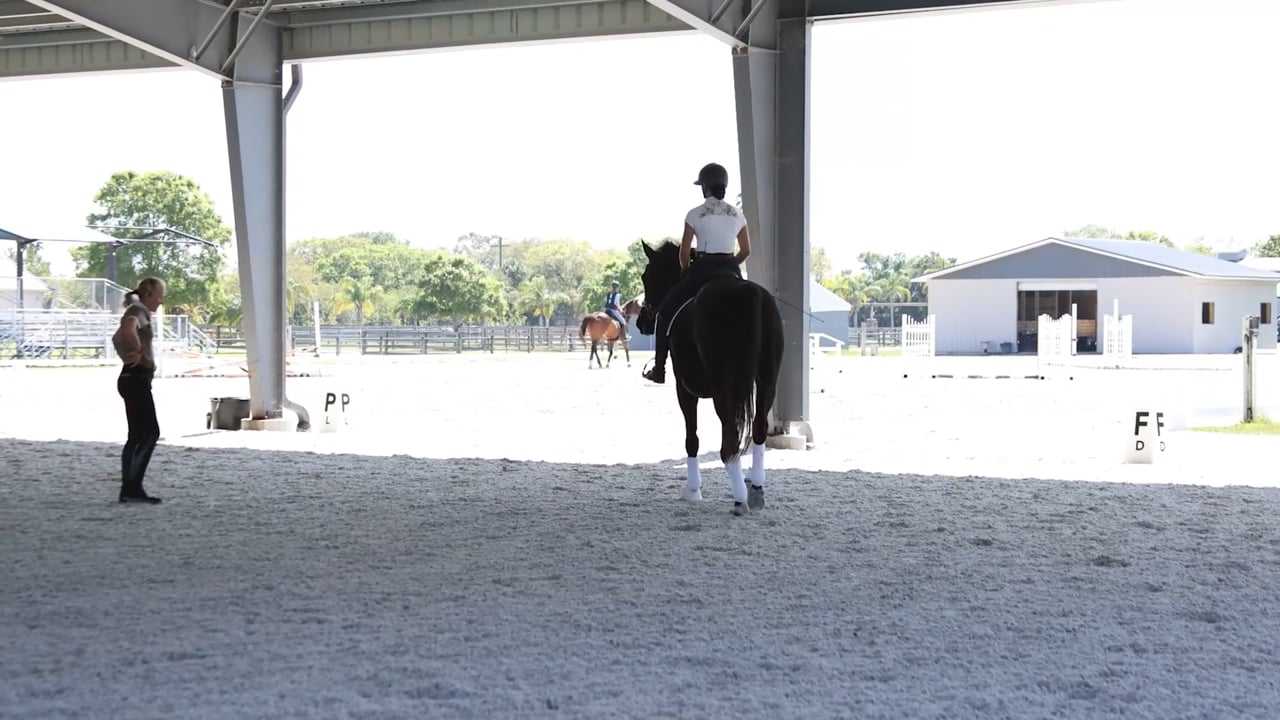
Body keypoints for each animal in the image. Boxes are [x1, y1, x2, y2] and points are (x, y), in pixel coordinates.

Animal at [635, 241, 784, 516]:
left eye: (646, 276)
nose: (642, 322)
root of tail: (749, 294)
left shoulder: (684, 388)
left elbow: (691, 438)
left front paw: (693, 490)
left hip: (723, 388)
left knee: (730, 440)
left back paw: (740, 498)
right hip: (767, 381)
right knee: (758, 430)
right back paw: (755, 489)